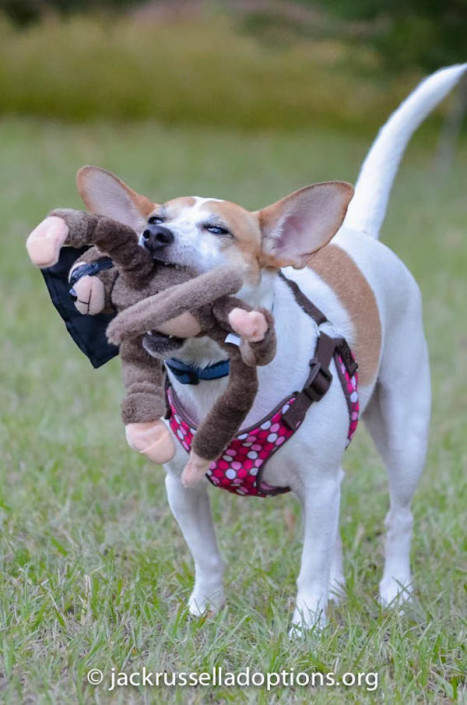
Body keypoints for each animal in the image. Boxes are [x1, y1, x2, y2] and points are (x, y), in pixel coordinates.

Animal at [44, 64, 467, 632]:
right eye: (155, 220)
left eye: (217, 229)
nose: (154, 235)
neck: (213, 371)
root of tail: (357, 233)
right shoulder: (183, 485)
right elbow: (208, 556)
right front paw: (204, 611)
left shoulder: (320, 479)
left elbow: (309, 564)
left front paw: (305, 629)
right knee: (331, 532)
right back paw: (338, 590)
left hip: (405, 434)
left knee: (397, 516)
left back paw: (395, 592)